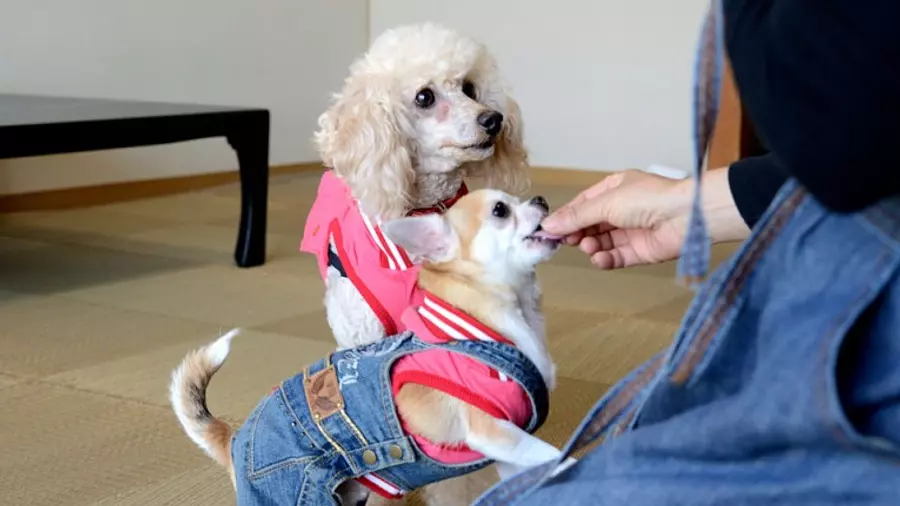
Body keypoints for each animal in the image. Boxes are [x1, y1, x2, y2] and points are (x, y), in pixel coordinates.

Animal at [171, 189, 571, 506]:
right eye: (501, 210)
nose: (540, 199)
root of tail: (235, 440)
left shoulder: (507, 447)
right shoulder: (488, 429)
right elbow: (555, 454)